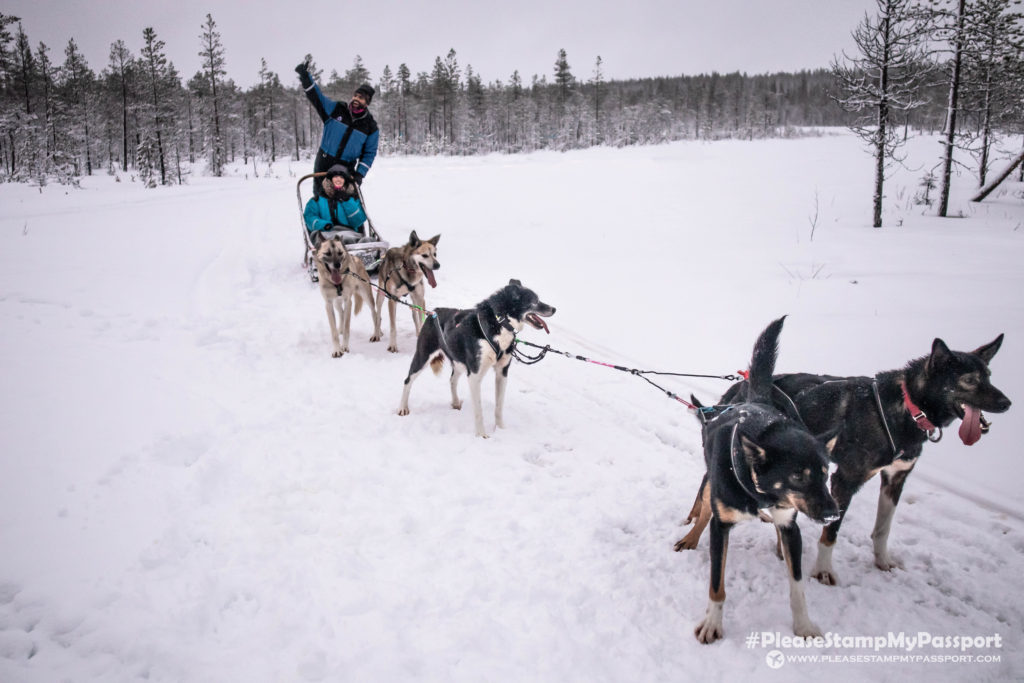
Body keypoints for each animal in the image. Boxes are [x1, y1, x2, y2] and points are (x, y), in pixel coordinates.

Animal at [397, 282, 557, 438]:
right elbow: (478, 410)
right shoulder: (474, 375)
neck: (498, 324)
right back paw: (403, 408)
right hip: (422, 357)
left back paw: (455, 402)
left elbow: (499, 406)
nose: (554, 309)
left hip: (459, 363)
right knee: (407, 380)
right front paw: (481, 435)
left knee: (452, 380)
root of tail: (434, 312)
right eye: (534, 301)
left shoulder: (502, 373)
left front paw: (501, 429)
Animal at [688, 317, 839, 643]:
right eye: (797, 475)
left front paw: (803, 625)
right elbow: (716, 586)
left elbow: (797, 587)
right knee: (704, 505)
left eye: (825, 474)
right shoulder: (721, 526)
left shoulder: (790, 525)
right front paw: (712, 624)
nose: (834, 513)